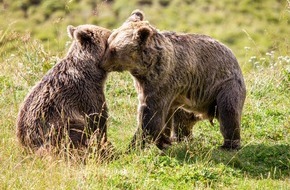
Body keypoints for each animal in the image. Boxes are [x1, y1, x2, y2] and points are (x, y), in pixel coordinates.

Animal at [16, 24, 111, 154]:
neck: (92, 71)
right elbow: (97, 119)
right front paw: (105, 147)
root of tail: (27, 148)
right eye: (110, 35)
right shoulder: (86, 92)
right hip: (57, 125)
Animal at [101, 10, 246, 151]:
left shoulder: (161, 82)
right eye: (108, 42)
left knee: (228, 111)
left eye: (113, 50)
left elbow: (151, 117)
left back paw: (229, 144)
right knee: (181, 118)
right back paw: (180, 137)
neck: (146, 67)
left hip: (224, 85)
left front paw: (133, 146)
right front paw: (163, 141)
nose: (102, 63)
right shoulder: (147, 84)